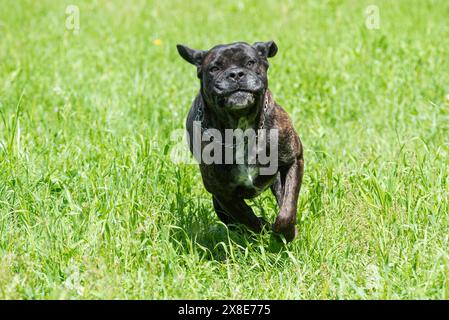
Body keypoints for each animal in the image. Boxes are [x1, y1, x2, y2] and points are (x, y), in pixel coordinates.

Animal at [177, 41, 302, 241]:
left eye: (250, 62)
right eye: (214, 68)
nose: (235, 73)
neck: (241, 127)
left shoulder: (293, 160)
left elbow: (288, 207)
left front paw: (286, 233)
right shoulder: (222, 193)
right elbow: (247, 218)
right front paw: (263, 230)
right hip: (219, 204)